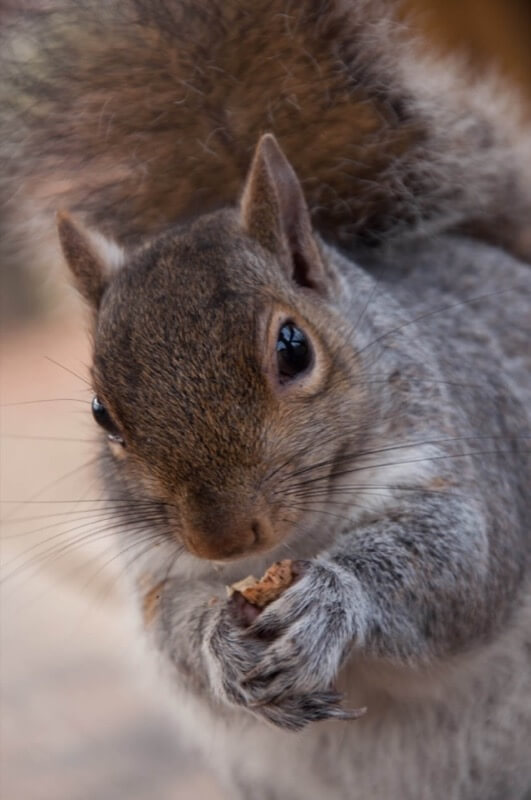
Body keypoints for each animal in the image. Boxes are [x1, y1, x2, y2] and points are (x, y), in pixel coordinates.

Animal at [2, 1, 528, 800]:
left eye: (293, 349)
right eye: (100, 413)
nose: (222, 538)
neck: (292, 544)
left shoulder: (459, 462)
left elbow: (460, 565)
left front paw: (332, 600)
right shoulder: (156, 565)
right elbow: (171, 630)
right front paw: (217, 645)